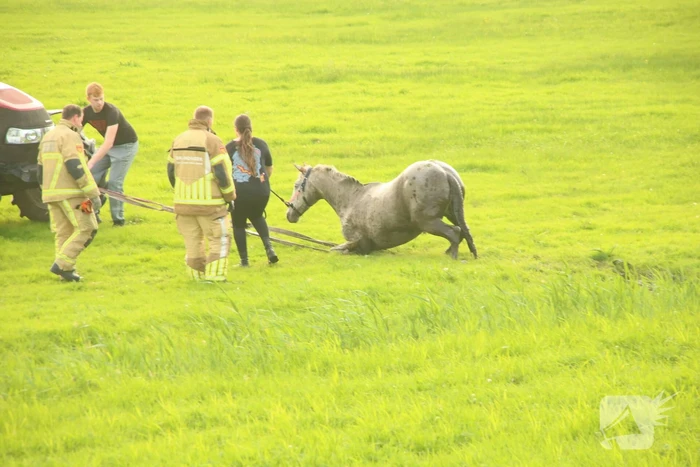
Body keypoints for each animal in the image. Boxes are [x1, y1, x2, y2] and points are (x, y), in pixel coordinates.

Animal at [285, 160, 478, 259]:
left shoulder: (360, 245)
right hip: (451, 214)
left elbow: (336, 250)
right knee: (462, 232)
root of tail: (445, 172)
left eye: (296, 185)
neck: (351, 199)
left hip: (428, 222)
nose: (289, 214)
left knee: (455, 233)